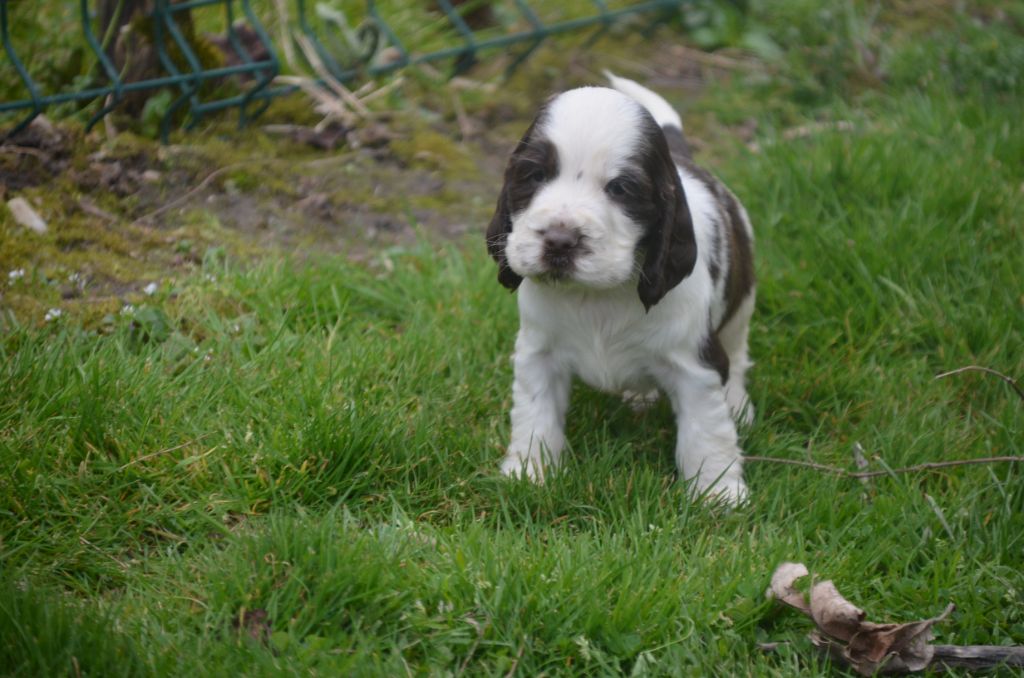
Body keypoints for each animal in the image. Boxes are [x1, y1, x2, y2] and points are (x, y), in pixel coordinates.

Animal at [483, 73, 757, 503]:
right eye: (535, 175)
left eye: (621, 188)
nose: (560, 241)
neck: (597, 295)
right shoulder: (538, 353)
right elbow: (535, 413)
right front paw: (530, 473)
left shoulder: (695, 363)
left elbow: (706, 431)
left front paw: (719, 493)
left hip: (742, 302)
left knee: (737, 351)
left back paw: (739, 405)